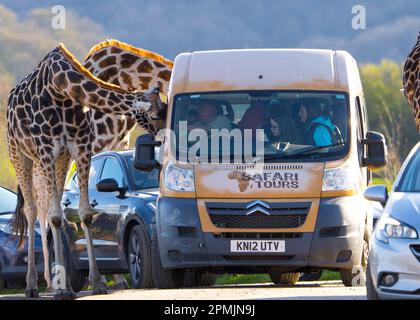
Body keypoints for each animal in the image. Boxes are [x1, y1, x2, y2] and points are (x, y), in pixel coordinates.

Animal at [7, 42, 166, 298]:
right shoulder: (48, 149)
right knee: (33, 211)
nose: (163, 135)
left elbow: (85, 213)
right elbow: (55, 216)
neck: (60, 88)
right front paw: (64, 288)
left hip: (60, 160)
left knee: (52, 208)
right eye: (153, 114)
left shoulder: (78, 148)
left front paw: (98, 282)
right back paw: (34, 285)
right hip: (21, 155)